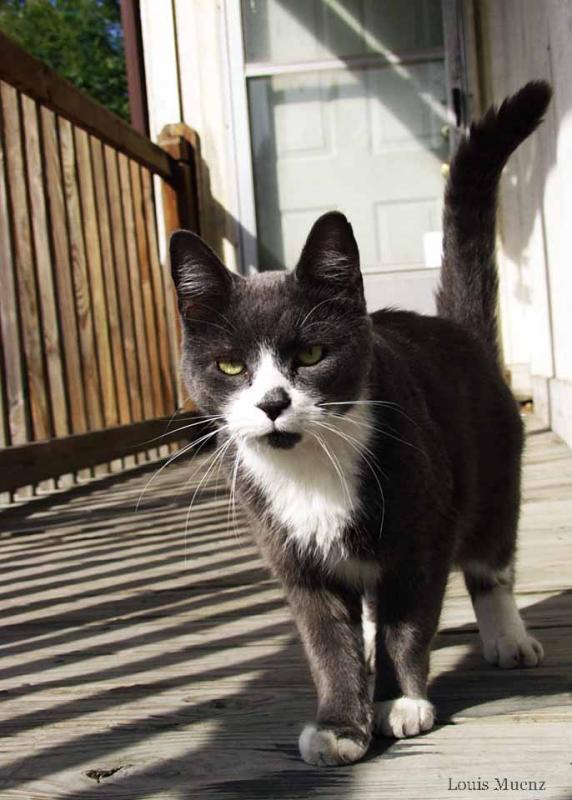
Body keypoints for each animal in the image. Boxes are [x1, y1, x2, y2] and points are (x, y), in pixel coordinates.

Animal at [171, 83, 556, 768]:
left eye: (311, 355)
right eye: (231, 365)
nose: (272, 402)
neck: (310, 470)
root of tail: (456, 329)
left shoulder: (423, 529)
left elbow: (411, 617)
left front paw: (398, 700)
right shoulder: (295, 559)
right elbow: (327, 642)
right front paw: (339, 725)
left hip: (492, 471)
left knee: (490, 561)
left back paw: (508, 636)